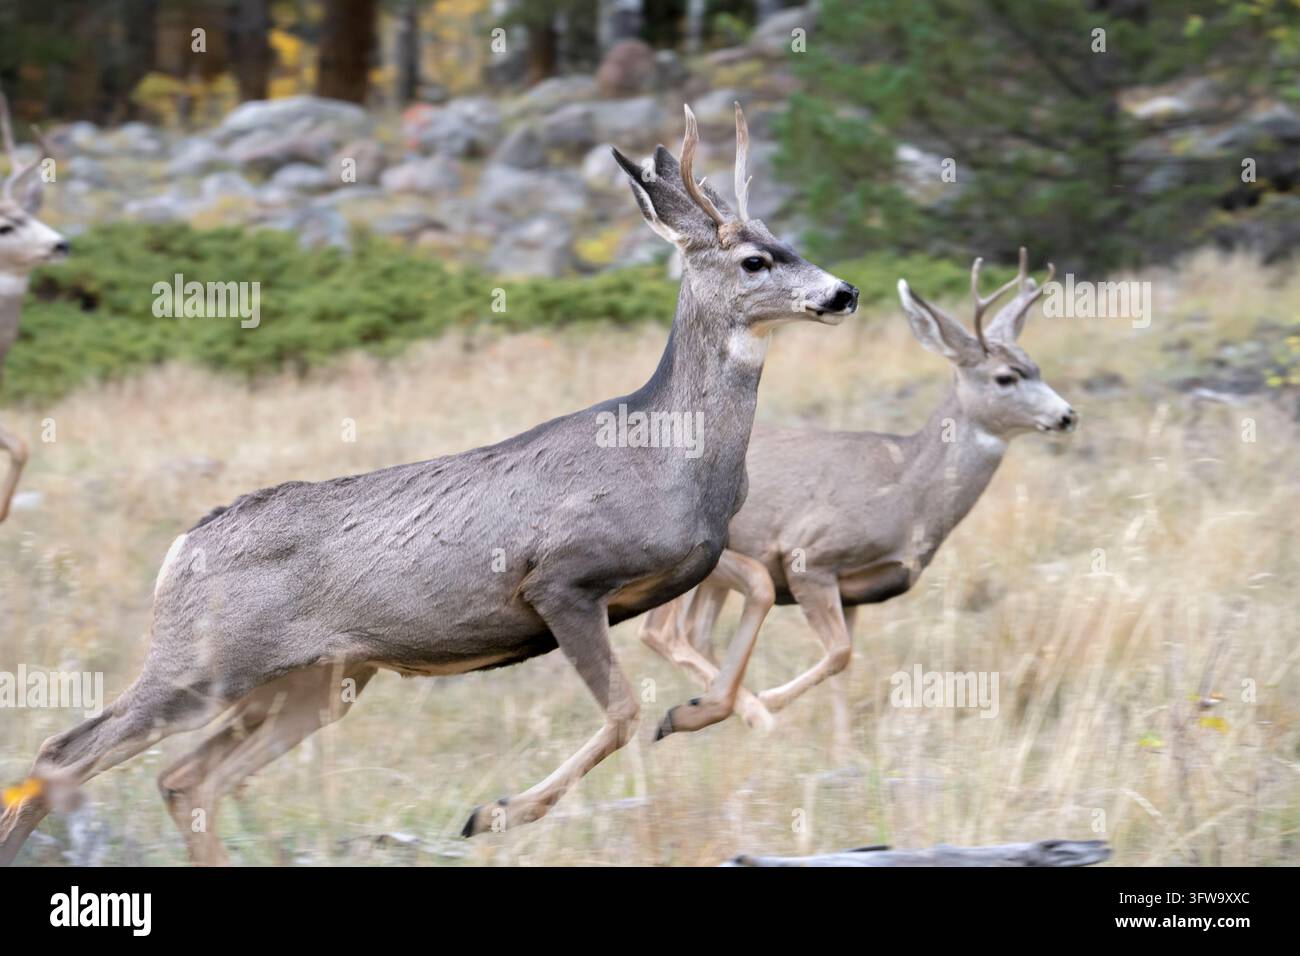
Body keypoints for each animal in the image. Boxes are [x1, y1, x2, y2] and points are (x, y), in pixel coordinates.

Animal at [0, 104, 859, 865]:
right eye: (755, 261)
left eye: (788, 241)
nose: (843, 293)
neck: (668, 457)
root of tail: (180, 548)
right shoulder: (562, 580)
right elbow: (620, 710)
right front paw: (495, 812)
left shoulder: (690, 560)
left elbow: (751, 597)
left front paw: (698, 712)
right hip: (204, 664)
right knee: (64, 751)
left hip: (321, 679)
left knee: (187, 779)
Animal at [640, 248, 1075, 728]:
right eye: (1005, 377)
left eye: (1036, 367)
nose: (1067, 415)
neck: (908, 495)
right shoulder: (810, 554)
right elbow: (840, 653)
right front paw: (773, 699)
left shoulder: (856, 591)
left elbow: (843, 667)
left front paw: (841, 738)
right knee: (660, 631)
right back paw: (731, 713)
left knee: (694, 632)